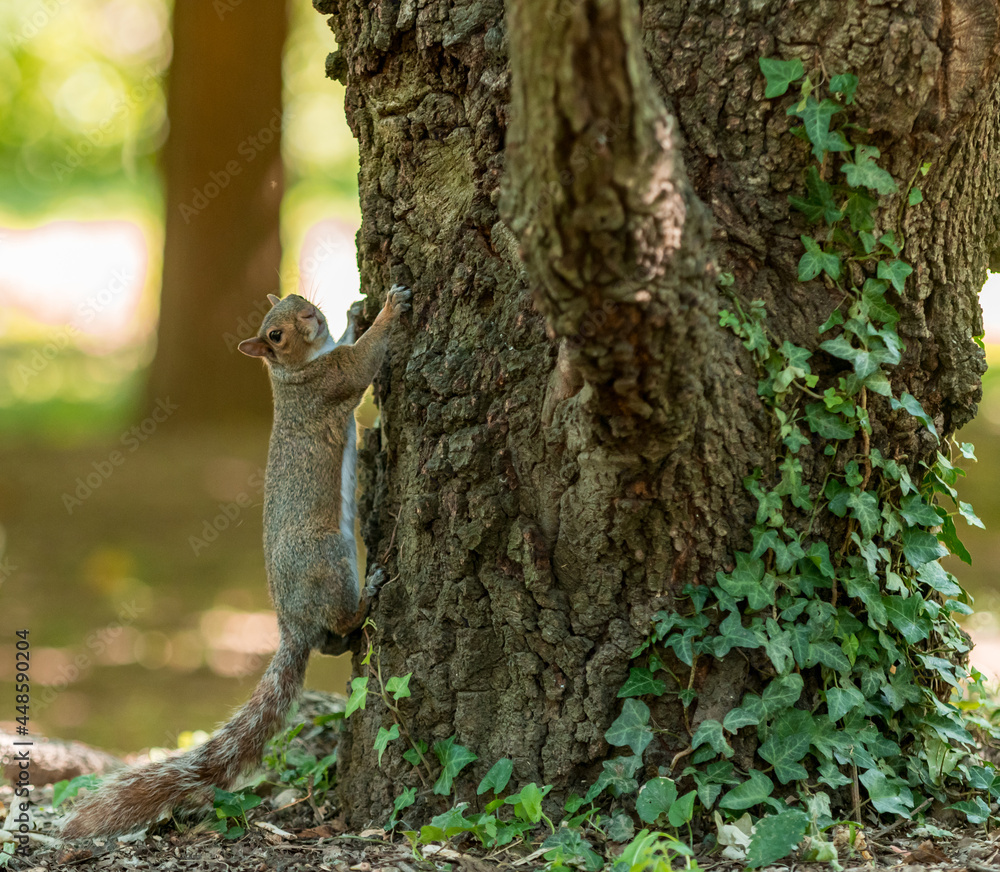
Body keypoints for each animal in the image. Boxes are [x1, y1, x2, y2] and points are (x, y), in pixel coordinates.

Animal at [62, 285, 412, 838]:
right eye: (276, 335)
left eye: (295, 296)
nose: (310, 314)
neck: (292, 371)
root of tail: (291, 624)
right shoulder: (330, 382)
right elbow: (362, 361)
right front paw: (387, 311)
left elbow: (350, 342)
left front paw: (355, 313)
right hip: (328, 558)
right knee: (339, 619)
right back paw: (370, 593)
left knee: (331, 641)